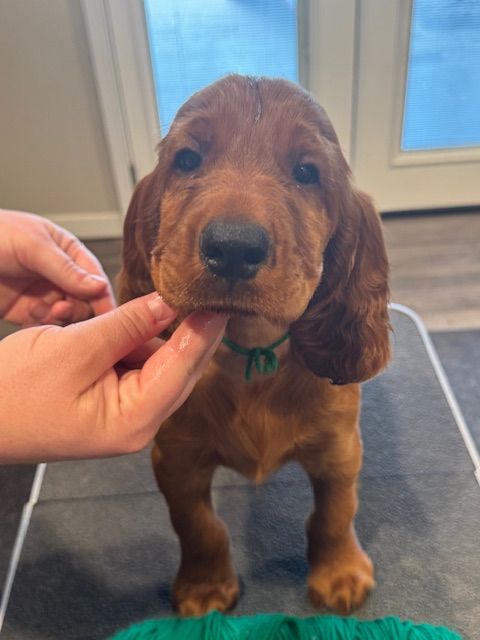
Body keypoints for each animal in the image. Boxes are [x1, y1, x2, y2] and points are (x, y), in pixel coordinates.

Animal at [118, 74, 390, 616]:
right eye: (187, 159)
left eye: (307, 172)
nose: (233, 248)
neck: (252, 348)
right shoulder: (174, 457)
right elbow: (198, 525)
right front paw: (204, 586)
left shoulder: (340, 449)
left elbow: (335, 512)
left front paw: (340, 573)